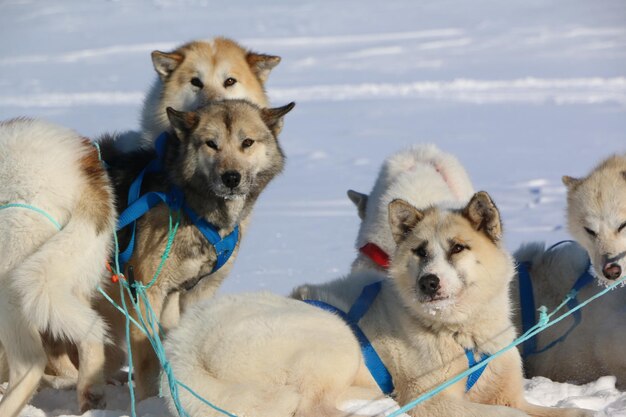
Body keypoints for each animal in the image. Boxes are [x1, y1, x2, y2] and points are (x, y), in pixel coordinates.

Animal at [98, 99, 294, 398]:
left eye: (247, 142)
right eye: (211, 143)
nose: (231, 178)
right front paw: (146, 403)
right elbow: (147, 358)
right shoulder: (146, 290)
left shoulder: (197, 292)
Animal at [161, 193, 588, 416]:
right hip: (334, 337)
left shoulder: (507, 392)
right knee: (313, 408)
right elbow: (504, 414)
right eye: (419, 251)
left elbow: (551, 411)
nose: (428, 282)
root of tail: (184, 348)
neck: (460, 334)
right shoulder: (436, 402)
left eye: (457, 248)